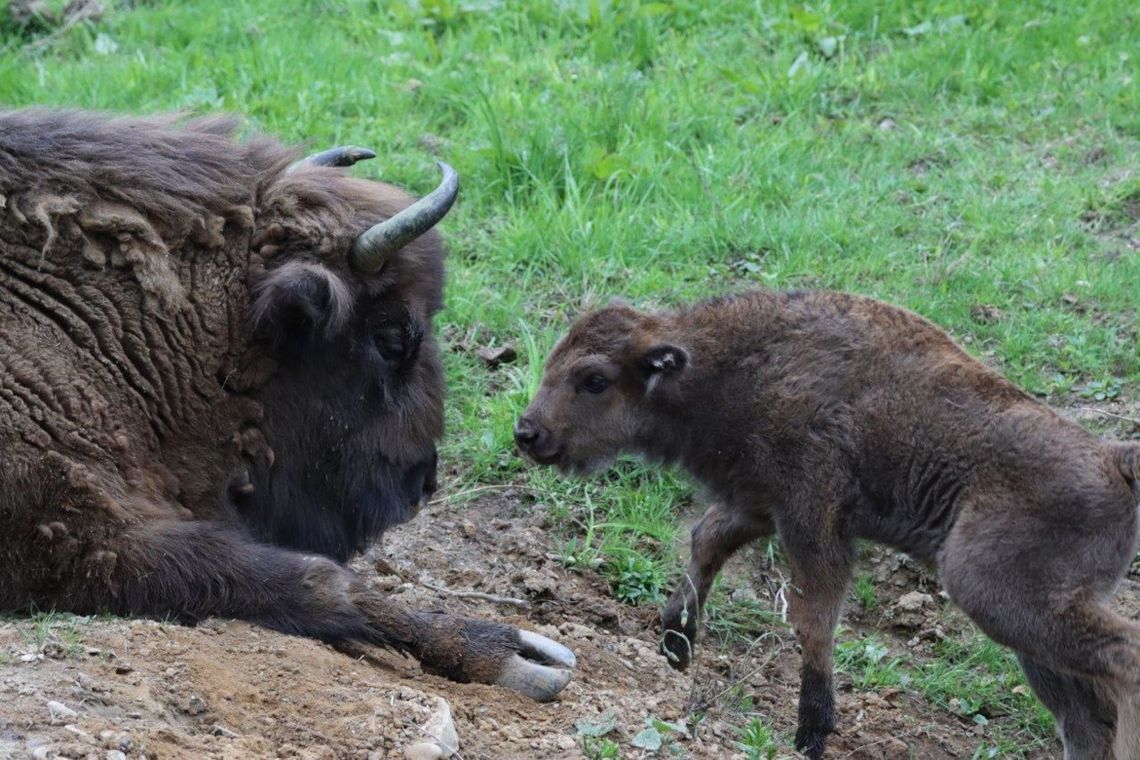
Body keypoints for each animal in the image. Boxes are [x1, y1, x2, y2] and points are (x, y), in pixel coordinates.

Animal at [519, 289, 1140, 756]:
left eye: (594, 379)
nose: (527, 433)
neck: (729, 362)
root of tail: (1113, 457)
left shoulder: (811, 517)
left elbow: (813, 617)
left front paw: (812, 731)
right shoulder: (757, 503)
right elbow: (706, 541)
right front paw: (677, 643)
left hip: (997, 593)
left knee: (1123, 661)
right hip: (1031, 631)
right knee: (1085, 716)